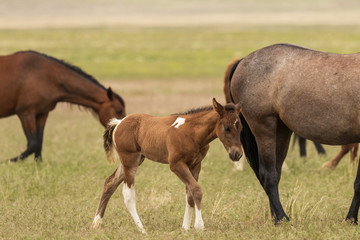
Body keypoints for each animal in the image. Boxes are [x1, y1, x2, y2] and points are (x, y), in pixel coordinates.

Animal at [91, 97, 243, 232]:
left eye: (241, 128)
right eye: (227, 128)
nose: (237, 154)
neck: (192, 133)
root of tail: (119, 122)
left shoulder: (195, 165)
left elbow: (190, 194)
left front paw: (185, 228)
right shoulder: (176, 164)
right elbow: (196, 190)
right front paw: (199, 226)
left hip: (136, 159)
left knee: (110, 183)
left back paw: (96, 223)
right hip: (130, 160)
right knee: (128, 193)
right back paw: (142, 229)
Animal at [226, 43, 360, 223]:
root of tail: (243, 61)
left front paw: (351, 219)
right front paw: (351, 219)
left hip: (282, 132)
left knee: (275, 173)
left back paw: (275, 216)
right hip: (264, 130)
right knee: (268, 175)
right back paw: (282, 219)